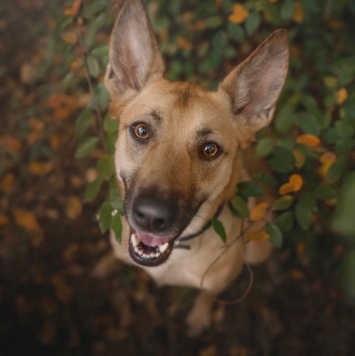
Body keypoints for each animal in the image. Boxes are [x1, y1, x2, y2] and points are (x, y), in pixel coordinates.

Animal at [103, 0, 290, 336]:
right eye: (141, 130)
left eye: (209, 149)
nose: (151, 217)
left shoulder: (216, 283)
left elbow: (207, 296)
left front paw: (199, 318)